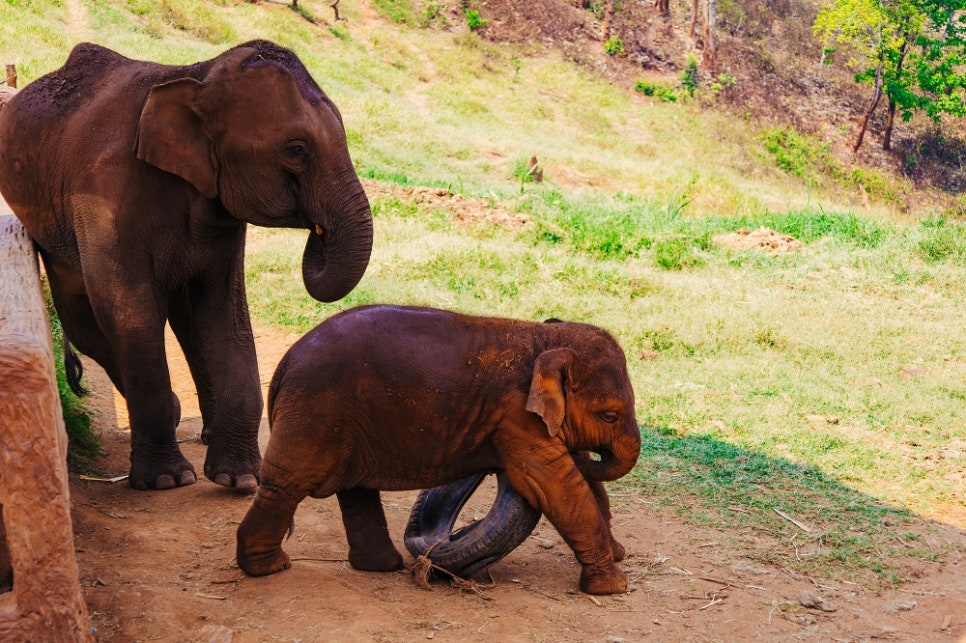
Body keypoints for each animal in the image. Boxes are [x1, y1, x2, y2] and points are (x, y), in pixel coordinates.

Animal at [0, 41, 374, 494]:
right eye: (297, 150)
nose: (318, 232)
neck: (196, 76)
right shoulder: (103, 200)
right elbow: (133, 313)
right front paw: (166, 480)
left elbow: (225, 314)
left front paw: (241, 479)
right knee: (84, 320)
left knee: (183, 319)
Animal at [235, 304, 644, 596]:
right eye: (610, 415)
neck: (543, 338)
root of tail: (286, 361)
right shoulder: (516, 418)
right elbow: (554, 484)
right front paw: (613, 587)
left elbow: (576, 479)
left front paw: (617, 557)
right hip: (316, 411)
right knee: (286, 486)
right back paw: (270, 568)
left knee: (355, 491)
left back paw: (382, 567)